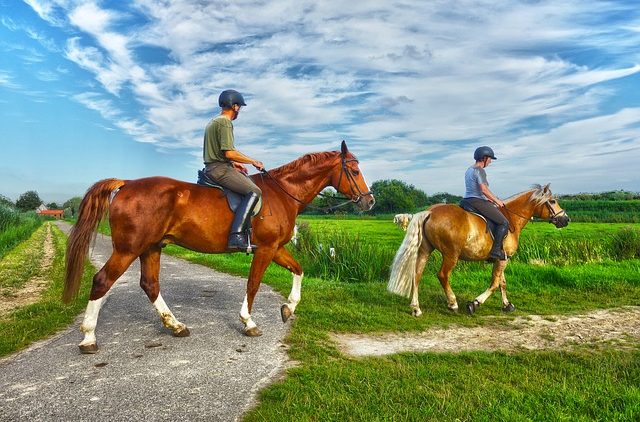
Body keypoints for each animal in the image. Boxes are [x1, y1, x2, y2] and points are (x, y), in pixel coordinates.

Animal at [63, 142, 376, 352]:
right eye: (355, 170)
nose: (370, 201)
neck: (282, 194)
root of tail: (126, 184)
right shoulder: (266, 249)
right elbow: (253, 283)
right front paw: (249, 322)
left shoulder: (275, 248)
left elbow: (298, 270)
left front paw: (288, 307)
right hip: (128, 250)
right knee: (102, 281)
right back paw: (89, 338)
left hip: (151, 248)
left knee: (150, 284)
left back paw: (176, 326)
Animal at [388, 185, 568, 316]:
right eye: (552, 201)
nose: (566, 219)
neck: (511, 219)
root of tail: (430, 211)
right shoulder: (503, 259)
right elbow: (494, 284)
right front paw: (474, 304)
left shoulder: (502, 258)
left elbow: (502, 282)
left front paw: (507, 305)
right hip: (451, 255)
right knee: (443, 275)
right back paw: (453, 303)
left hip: (425, 251)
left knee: (416, 275)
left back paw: (416, 308)